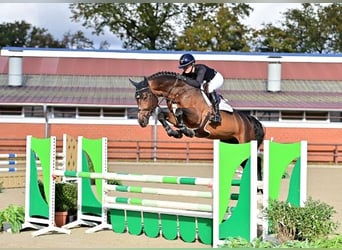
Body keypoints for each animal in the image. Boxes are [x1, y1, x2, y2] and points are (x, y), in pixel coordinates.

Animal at [130, 71, 266, 181]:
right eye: (136, 98)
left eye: (145, 97)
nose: (141, 121)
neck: (179, 92)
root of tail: (250, 120)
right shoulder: (174, 117)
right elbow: (162, 115)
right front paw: (174, 132)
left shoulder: (196, 117)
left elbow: (179, 111)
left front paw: (186, 131)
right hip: (233, 143)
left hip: (245, 142)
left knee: (255, 162)